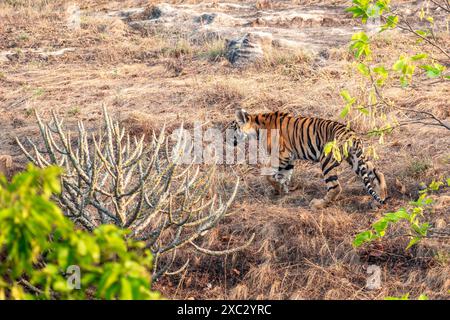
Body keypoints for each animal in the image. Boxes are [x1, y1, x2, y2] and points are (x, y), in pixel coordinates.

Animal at [230, 109, 388, 211]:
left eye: (231, 128)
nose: (225, 139)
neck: (257, 128)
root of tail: (352, 135)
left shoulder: (281, 155)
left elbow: (268, 175)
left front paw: (278, 188)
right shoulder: (289, 158)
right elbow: (283, 175)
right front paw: (282, 190)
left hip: (327, 160)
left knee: (335, 187)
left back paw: (318, 204)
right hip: (355, 159)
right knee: (377, 174)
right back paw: (379, 200)